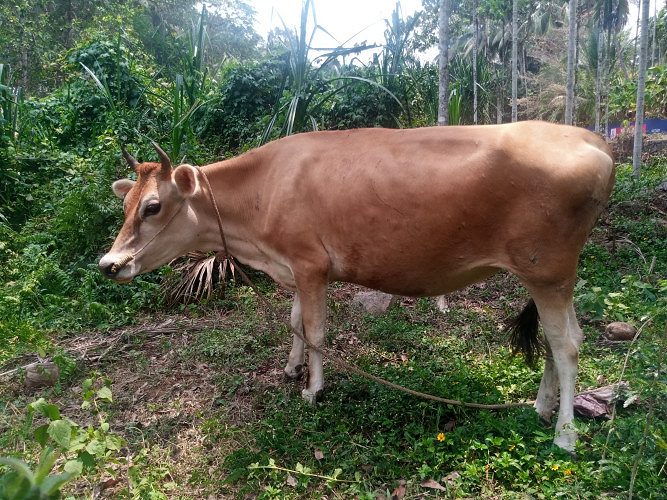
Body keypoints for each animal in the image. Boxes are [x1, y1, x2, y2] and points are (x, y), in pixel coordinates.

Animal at [98, 121, 615, 452]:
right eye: (125, 203)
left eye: (152, 207)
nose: (108, 264)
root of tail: (591, 138)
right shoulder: (295, 268)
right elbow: (295, 322)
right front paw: (291, 369)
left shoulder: (310, 264)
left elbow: (316, 331)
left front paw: (313, 389)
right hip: (547, 275)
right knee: (558, 339)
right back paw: (541, 406)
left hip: (549, 269)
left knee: (567, 344)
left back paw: (564, 434)